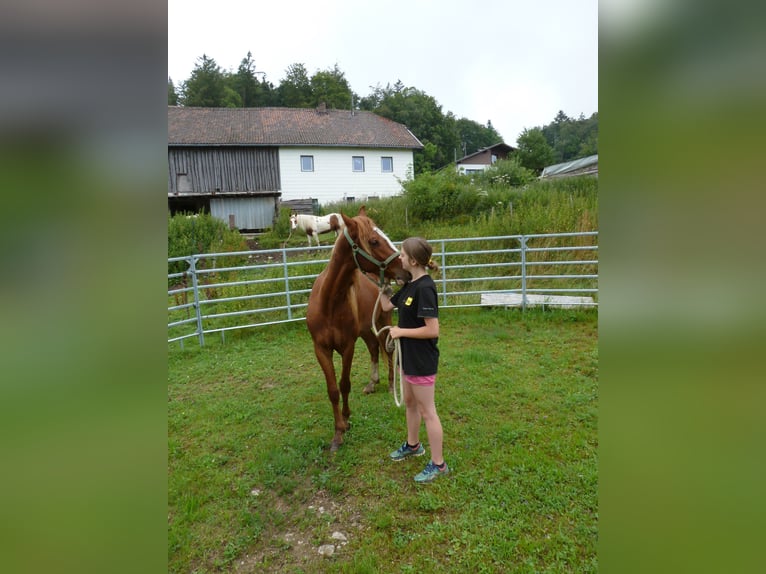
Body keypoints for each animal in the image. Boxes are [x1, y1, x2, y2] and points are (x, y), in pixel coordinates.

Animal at [308, 207, 412, 454]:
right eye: (374, 241)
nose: (406, 271)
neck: (329, 302)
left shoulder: (348, 346)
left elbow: (344, 385)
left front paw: (345, 421)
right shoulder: (321, 349)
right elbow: (333, 390)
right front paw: (337, 433)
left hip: (383, 322)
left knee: (388, 351)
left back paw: (390, 385)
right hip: (366, 330)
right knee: (374, 350)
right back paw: (372, 383)